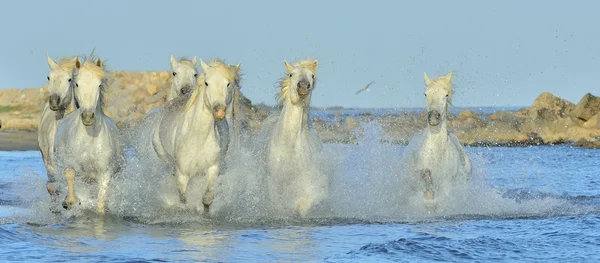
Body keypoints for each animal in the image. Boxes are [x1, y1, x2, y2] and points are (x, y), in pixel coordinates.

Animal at [53, 56, 125, 216]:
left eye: (99, 85)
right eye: (77, 84)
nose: (87, 116)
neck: (90, 138)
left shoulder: (105, 174)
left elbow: (100, 203)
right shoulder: (74, 166)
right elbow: (70, 174)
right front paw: (70, 201)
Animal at [151, 58, 240, 211]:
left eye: (228, 84)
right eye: (207, 83)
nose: (219, 111)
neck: (198, 138)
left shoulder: (212, 169)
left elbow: (207, 198)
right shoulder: (182, 175)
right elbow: (183, 200)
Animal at [266, 59, 326, 217]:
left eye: (312, 76)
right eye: (291, 74)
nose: (304, 86)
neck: (288, 145)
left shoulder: (307, 183)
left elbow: (304, 204)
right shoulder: (274, 184)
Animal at [400, 71, 472, 210]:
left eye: (446, 95)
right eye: (425, 93)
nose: (433, 117)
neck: (437, 153)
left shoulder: (447, 183)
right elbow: (425, 175)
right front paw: (429, 198)